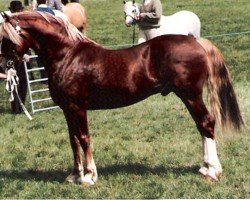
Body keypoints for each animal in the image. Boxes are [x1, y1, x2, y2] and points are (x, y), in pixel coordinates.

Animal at [0, 11, 242, 185]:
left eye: (6, 37)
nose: (4, 66)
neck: (68, 55)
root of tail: (198, 42)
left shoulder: (78, 107)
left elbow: (84, 138)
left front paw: (89, 176)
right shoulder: (67, 109)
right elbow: (73, 140)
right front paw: (74, 175)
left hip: (191, 95)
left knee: (206, 123)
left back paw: (212, 171)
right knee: (202, 126)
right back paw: (205, 167)